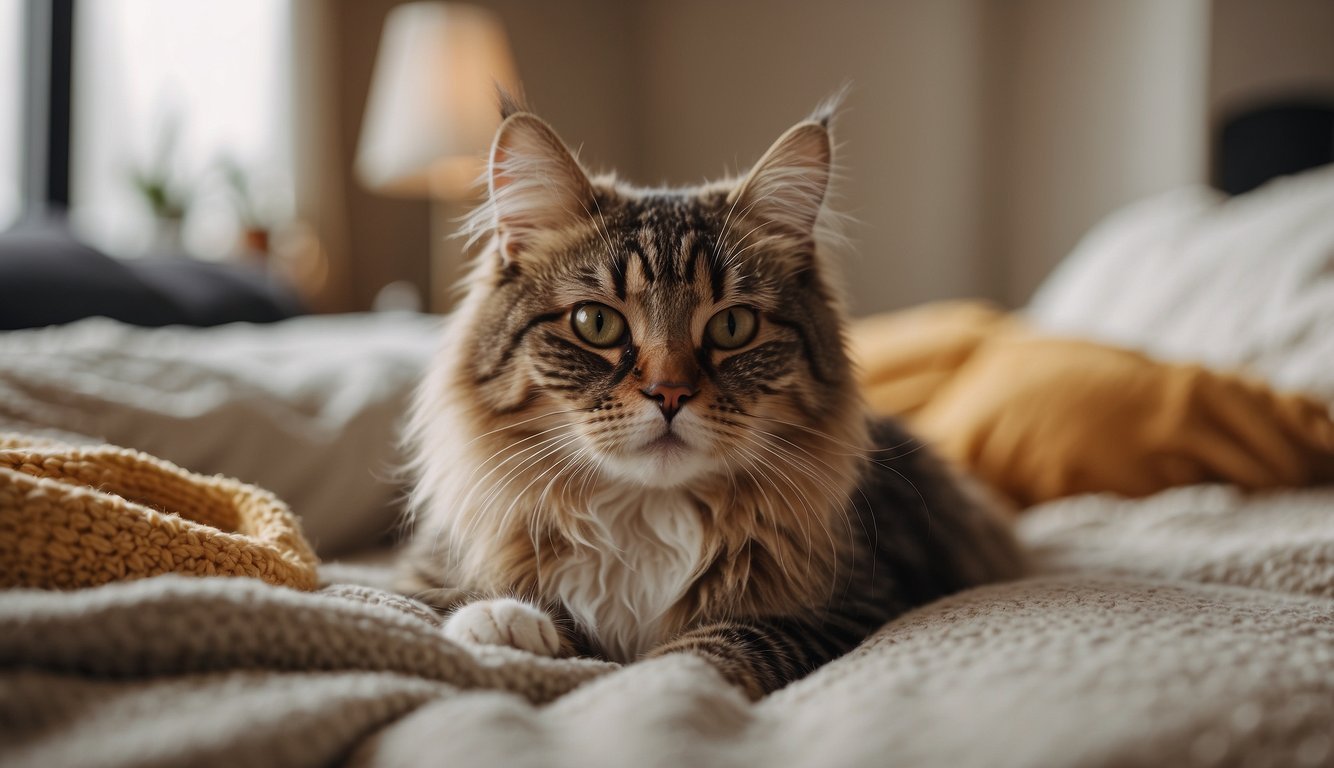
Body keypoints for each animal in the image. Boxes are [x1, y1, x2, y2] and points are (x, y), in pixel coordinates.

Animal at [400, 91, 1024, 704]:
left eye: (732, 328)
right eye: (596, 323)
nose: (669, 392)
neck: (645, 516)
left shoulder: (857, 602)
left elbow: (711, 648)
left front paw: (645, 686)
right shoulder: (422, 576)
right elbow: (451, 604)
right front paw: (504, 626)